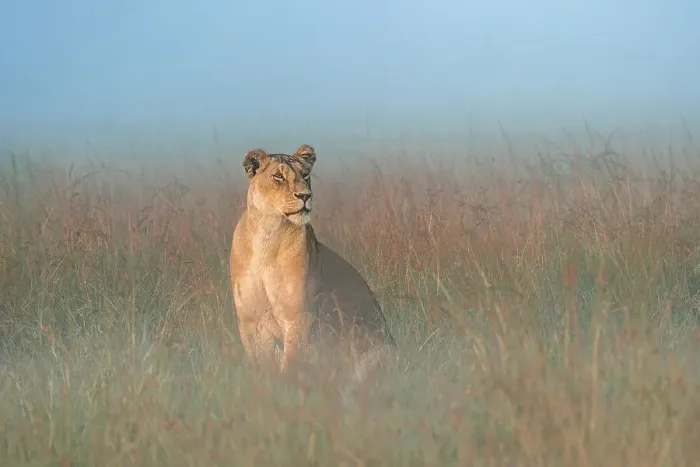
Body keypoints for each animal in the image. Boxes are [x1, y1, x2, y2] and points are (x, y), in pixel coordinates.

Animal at [229, 144, 397, 381]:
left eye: (306, 175)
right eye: (278, 176)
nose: (305, 196)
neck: (268, 233)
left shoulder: (298, 315)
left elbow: (291, 360)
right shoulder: (249, 320)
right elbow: (259, 364)